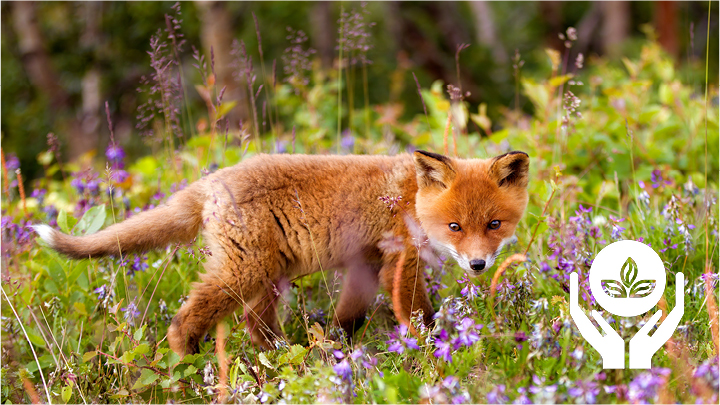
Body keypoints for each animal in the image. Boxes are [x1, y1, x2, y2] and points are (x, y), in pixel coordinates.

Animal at [33, 151, 528, 354]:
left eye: (494, 225)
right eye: (455, 227)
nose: (479, 265)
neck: (410, 198)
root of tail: (209, 182)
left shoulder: (366, 265)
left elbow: (348, 319)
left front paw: (335, 355)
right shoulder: (399, 265)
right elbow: (420, 315)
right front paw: (435, 350)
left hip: (271, 276)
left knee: (255, 325)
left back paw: (280, 358)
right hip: (245, 273)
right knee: (184, 320)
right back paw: (188, 366)